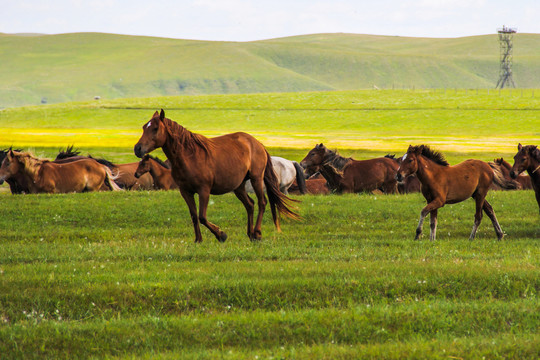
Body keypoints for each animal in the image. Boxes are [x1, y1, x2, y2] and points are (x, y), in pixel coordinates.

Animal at [132, 107, 298, 242]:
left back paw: (257, 233)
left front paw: (221, 235)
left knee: (262, 202)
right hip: (239, 186)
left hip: (256, 178)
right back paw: (250, 234)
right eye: (144, 127)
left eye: (154, 128)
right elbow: (194, 216)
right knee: (250, 205)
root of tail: (258, 144)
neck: (189, 156)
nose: (137, 149)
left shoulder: (204, 190)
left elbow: (202, 216)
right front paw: (198, 240)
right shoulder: (185, 191)